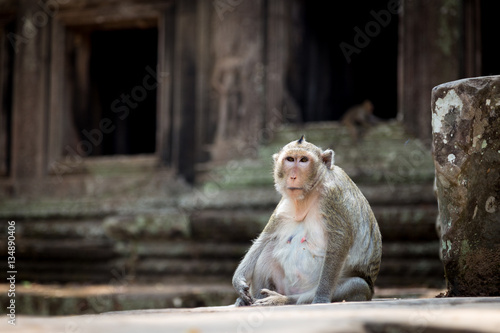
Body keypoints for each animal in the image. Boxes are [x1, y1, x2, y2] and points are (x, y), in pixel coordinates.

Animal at [232, 136, 380, 304]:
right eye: (290, 159)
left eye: (303, 160)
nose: (293, 176)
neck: (308, 194)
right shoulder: (285, 204)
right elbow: (265, 237)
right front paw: (238, 281)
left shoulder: (333, 196)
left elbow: (339, 242)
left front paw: (321, 297)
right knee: (267, 248)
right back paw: (251, 299)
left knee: (356, 285)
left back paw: (283, 299)